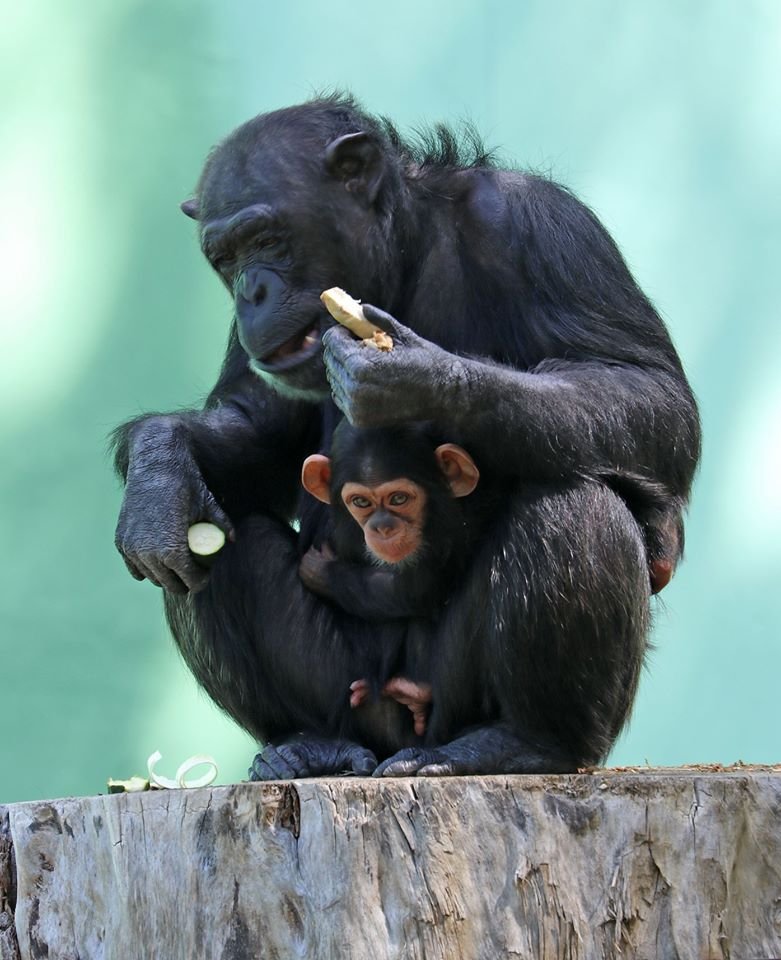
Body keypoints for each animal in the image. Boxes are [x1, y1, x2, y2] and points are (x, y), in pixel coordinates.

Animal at [111, 92, 700, 780]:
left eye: (266, 239)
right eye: (225, 258)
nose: (251, 291)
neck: (404, 253)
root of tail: (396, 730)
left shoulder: (543, 226)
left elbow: (644, 388)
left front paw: (416, 378)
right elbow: (259, 430)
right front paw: (159, 467)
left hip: (447, 694)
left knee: (572, 500)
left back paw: (523, 741)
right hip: (349, 690)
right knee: (208, 534)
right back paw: (306, 743)